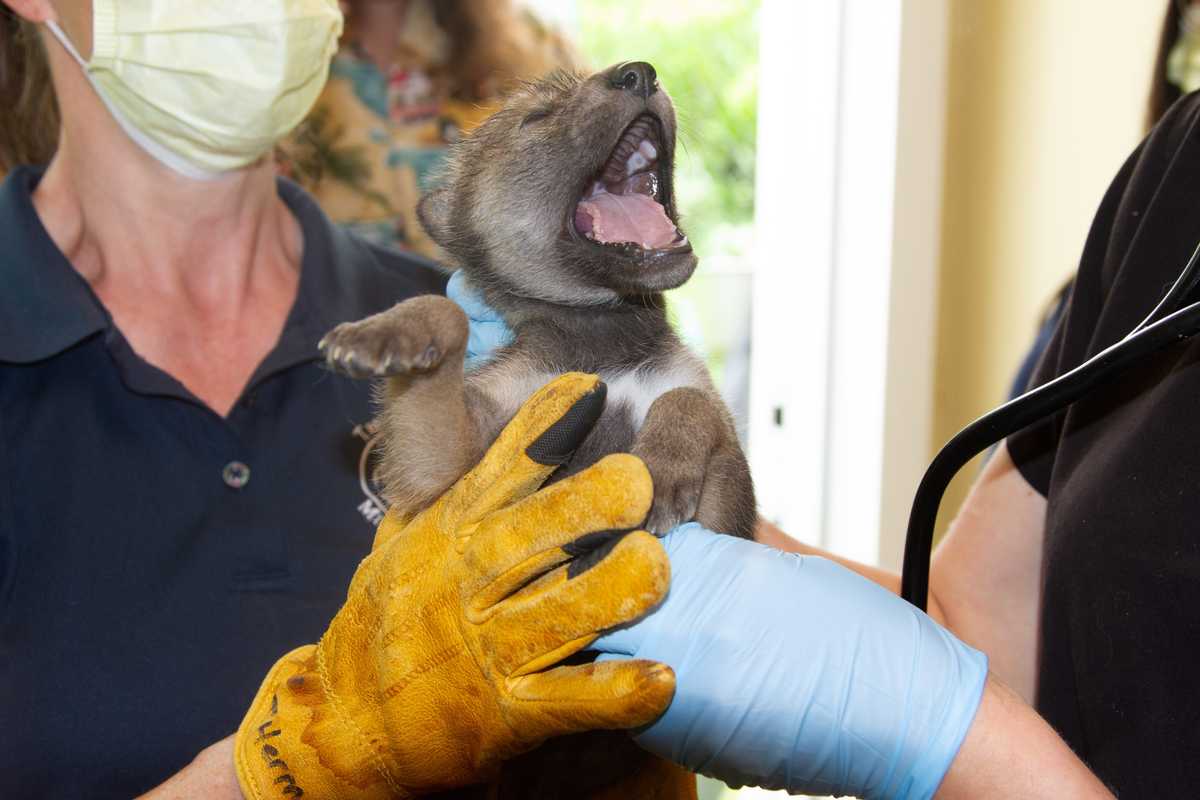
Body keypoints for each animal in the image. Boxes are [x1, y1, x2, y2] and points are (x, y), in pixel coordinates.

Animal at [320, 61, 757, 797]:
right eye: (538, 117)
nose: (639, 71)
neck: (606, 346)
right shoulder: (452, 457)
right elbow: (445, 311)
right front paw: (385, 333)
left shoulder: (730, 504)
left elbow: (687, 403)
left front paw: (663, 467)